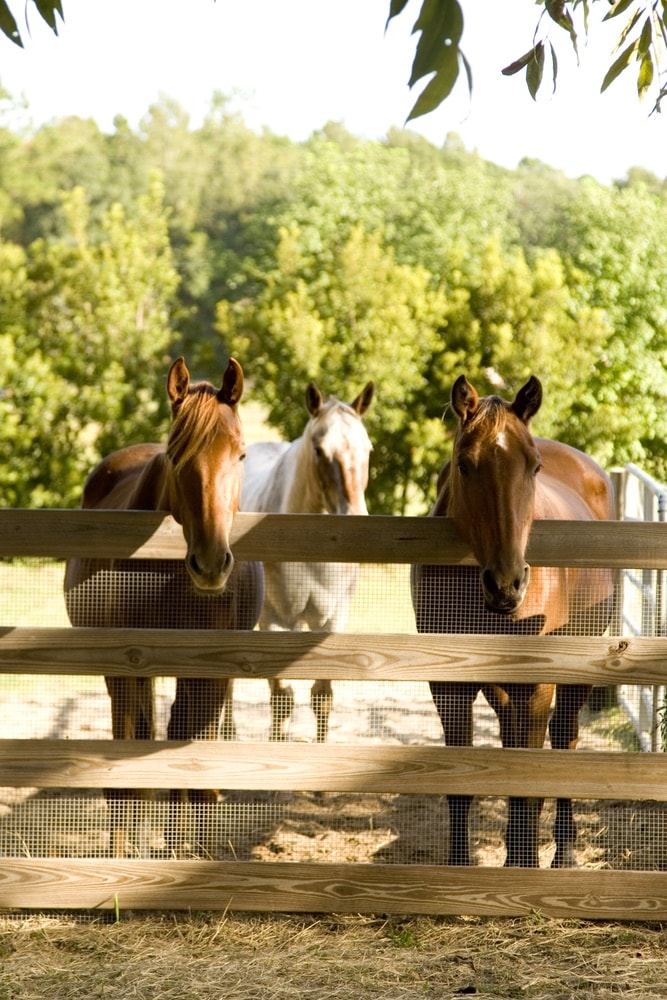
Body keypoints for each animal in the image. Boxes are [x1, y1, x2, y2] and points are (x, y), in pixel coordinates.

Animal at [65, 356, 264, 856]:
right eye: (175, 456)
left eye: (241, 455)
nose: (211, 563)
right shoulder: (126, 666)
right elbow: (128, 778)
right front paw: (121, 858)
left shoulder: (213, 674)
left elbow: (200, 774)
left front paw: (198, 857)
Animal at [240, 382, 376, 744]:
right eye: (319, 450)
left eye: (368, 449)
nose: (356, 520)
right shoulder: (273, 620)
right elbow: (282, 698)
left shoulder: (332, 620)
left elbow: (322, 696)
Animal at [412, 376, 616, 868]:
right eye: (465, 464)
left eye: (534, 467)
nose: (507, 583)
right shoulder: (449, 685)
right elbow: (464, 785)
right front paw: (464, 866)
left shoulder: (537, 684)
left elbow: (531, 784)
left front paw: (526, 865)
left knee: (564, 740)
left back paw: (562, 854)